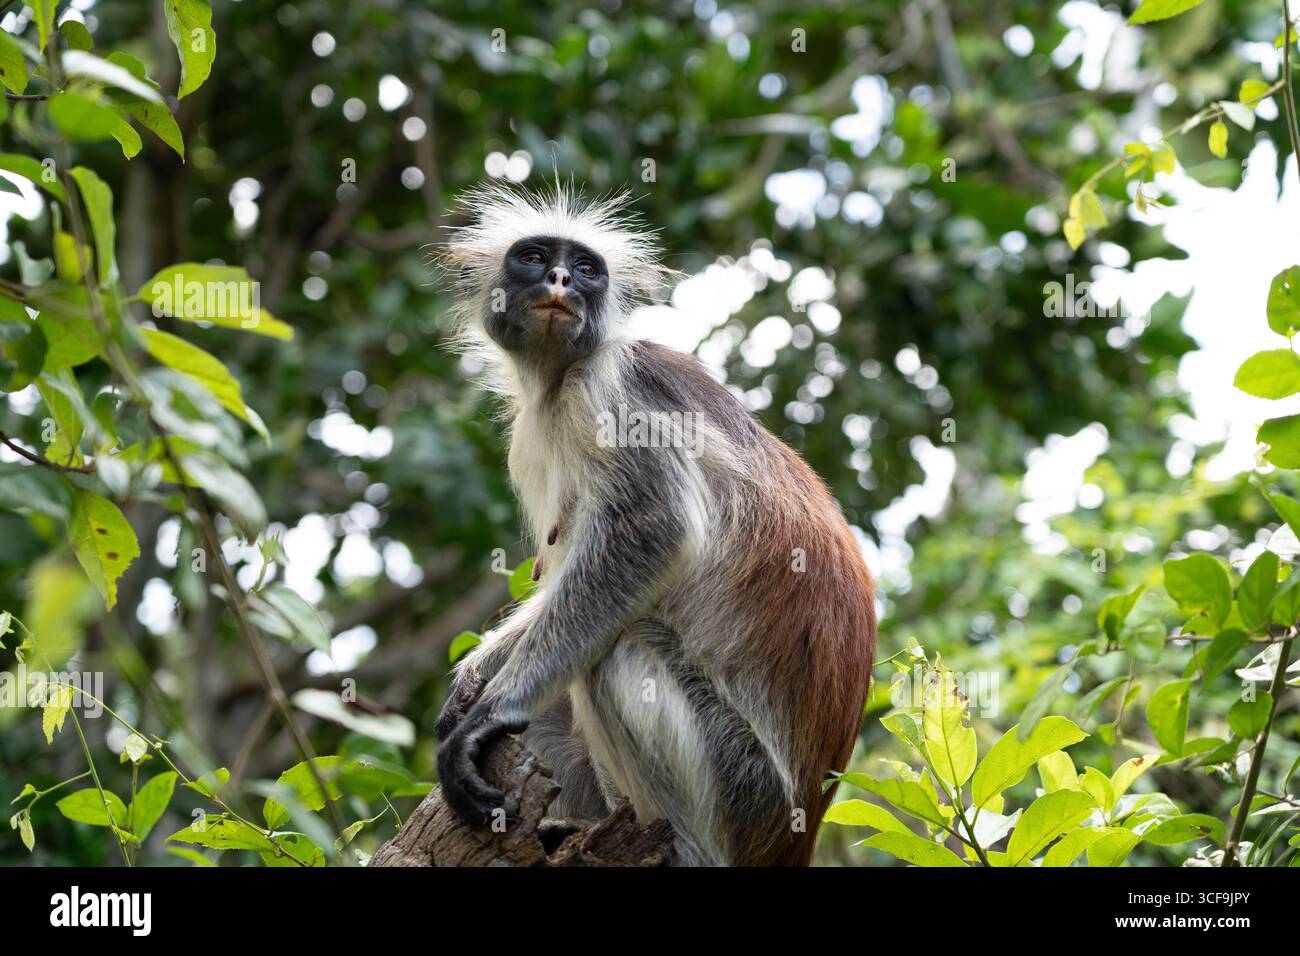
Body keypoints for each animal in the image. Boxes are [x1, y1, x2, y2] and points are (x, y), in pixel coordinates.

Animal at [434, 183, 876, 866]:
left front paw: (490, 708)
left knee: (617, 650)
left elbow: (651, 532)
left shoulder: (614, 387)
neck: (557, 382)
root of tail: (793, 837)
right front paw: (472, 681)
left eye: (585, 267)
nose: (562, 280)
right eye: (533, 258)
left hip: (743, 787)